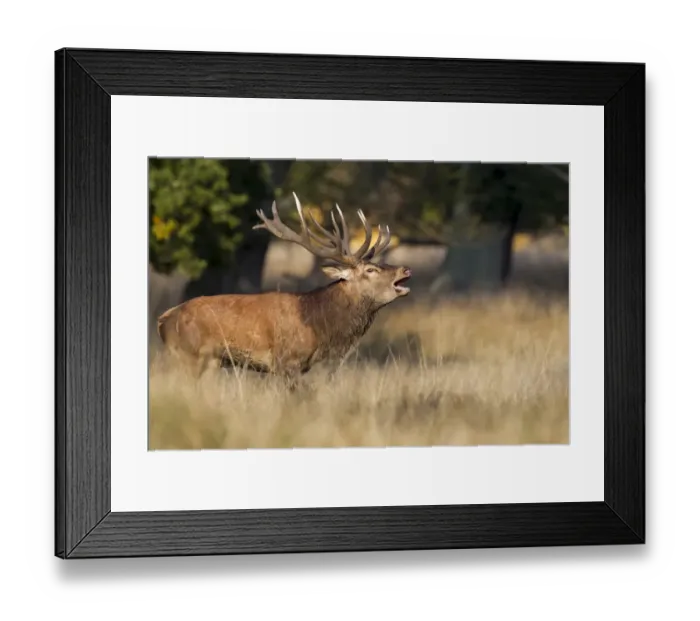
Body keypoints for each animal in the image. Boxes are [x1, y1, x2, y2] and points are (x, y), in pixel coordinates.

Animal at [156, 192, 412, 387]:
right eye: (370, 269)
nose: (405, 269)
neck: (320, 325)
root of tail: (163, 319)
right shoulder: (286, 361)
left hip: (210, 362)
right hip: (188, 356)